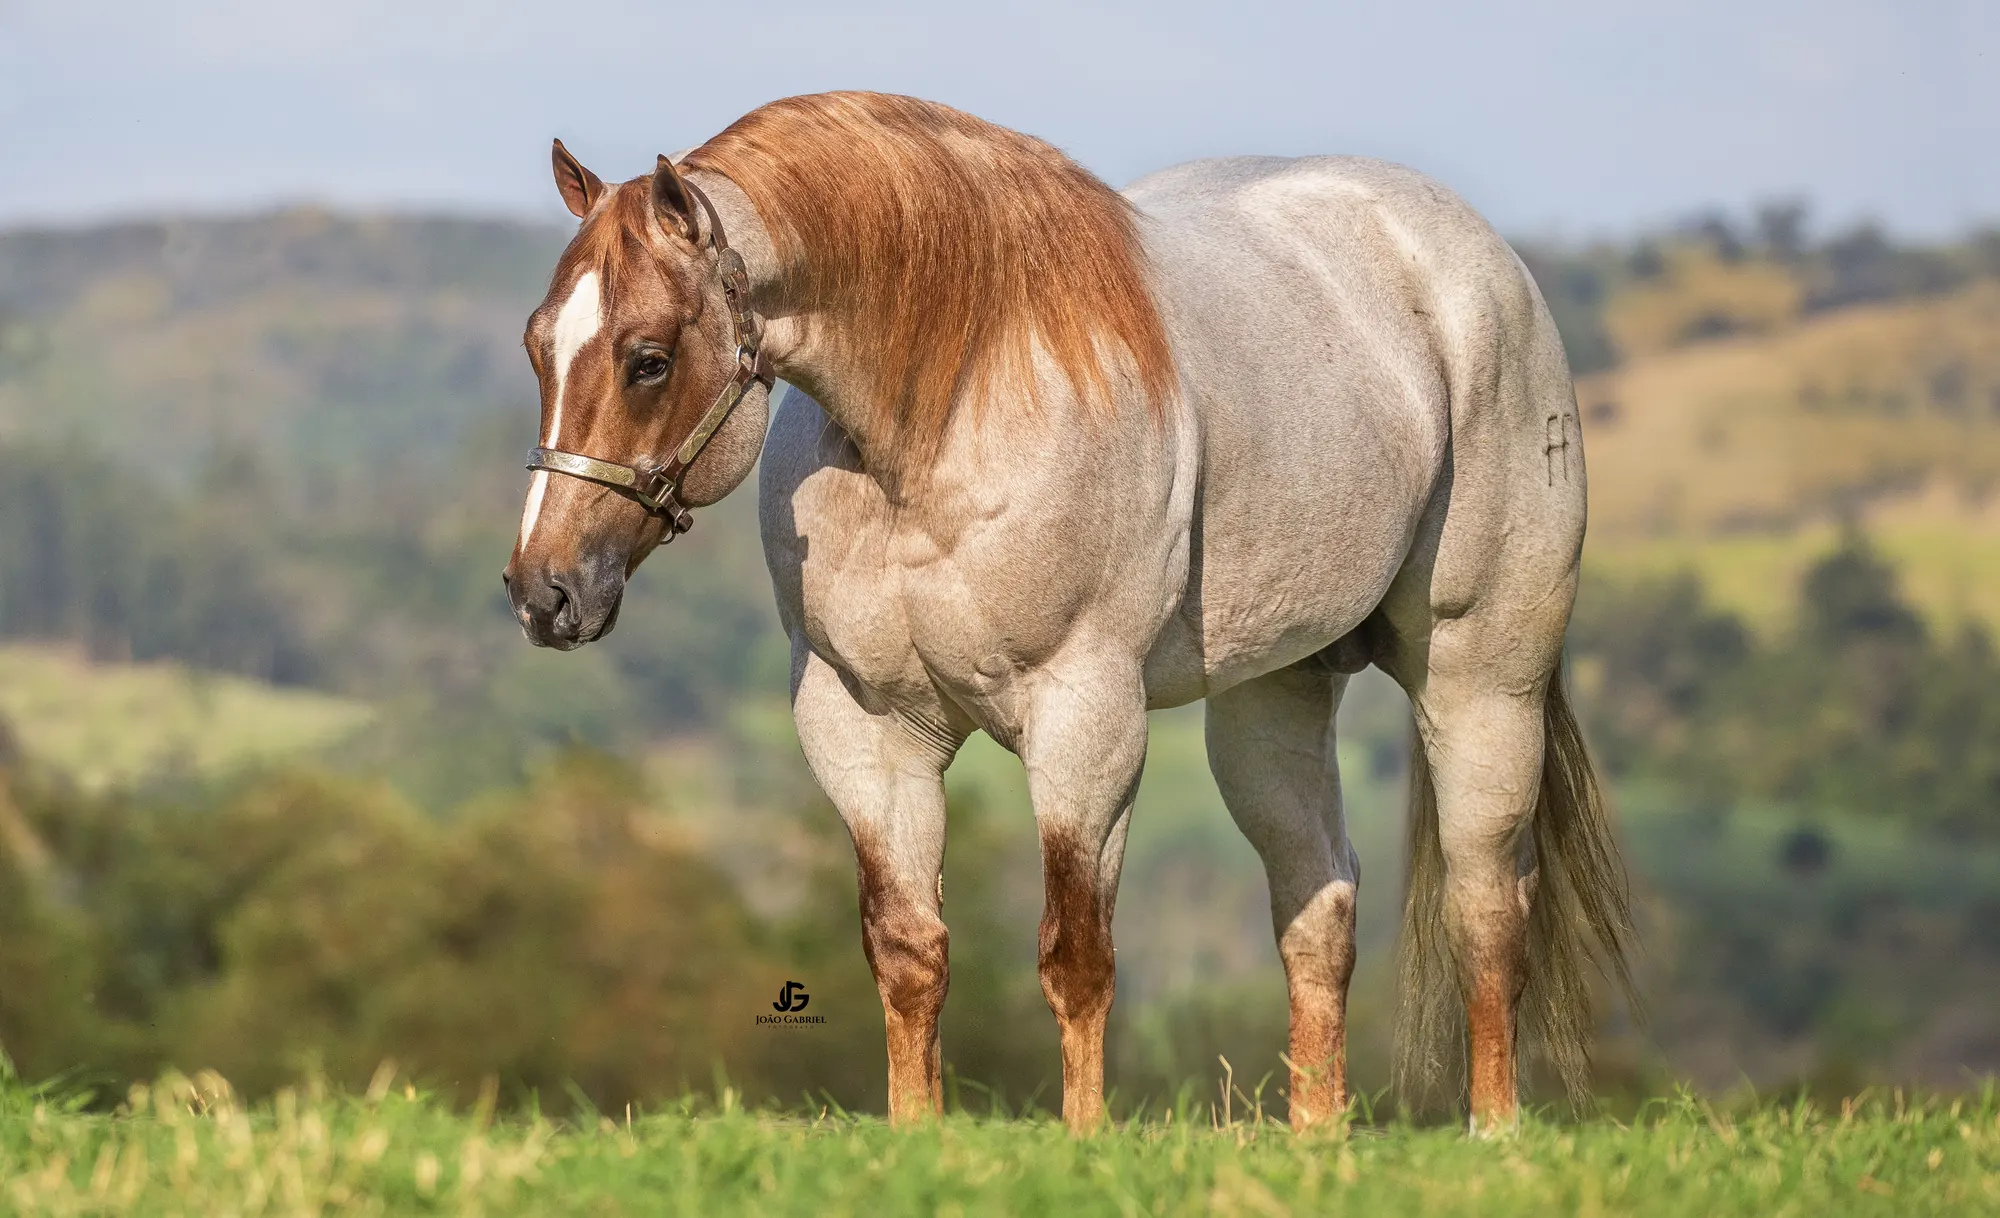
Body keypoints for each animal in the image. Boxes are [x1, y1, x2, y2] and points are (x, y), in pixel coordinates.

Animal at [502, 91, 1635, 1133]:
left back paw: (1495, 1134)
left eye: (648, 357)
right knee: (1319, 908)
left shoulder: (1085, 719)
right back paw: (1317, 1141)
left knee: (1487, 906)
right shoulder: (864, 729)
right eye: (538, 344)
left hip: (1481, 681)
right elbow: (908, 952)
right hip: (1274, 698)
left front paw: (1083, 1143)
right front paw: (915, 1136)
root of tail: (1474, 264)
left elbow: (1076, 955)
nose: (544, 592)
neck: (940, 415)